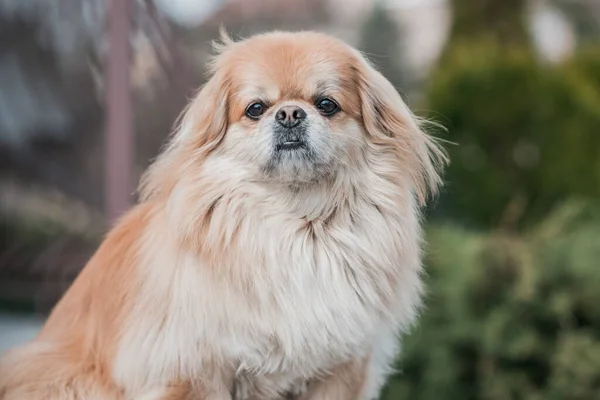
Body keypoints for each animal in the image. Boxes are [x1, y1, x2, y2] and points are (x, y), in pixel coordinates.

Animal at [1, 31, 446, 400]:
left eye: (326, 105)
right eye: (256, 108)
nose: (289, 114)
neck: (295, 225)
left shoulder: (341, 369)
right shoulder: (194, 370)